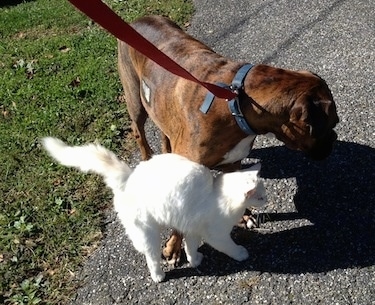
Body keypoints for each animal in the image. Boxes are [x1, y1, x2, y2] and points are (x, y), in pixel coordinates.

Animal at [43, 137, 268, 282]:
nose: (267, 200)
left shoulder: (192, 228)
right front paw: (241, 254)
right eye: (260, 196)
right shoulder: (216, 234)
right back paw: (158, 276)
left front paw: (194, 260)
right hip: (147, 232)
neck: (217, 194)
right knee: (150, 257)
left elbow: (190, 247)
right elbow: (229, 246)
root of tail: (129, 177)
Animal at [117, 14, 340, 264]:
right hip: (135, 102)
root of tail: (141, 18)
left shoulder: (233, 163)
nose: (335, 138)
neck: (236, 104)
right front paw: (174, 247)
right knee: (139, 132)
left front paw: (245, 216)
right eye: (332, 124)